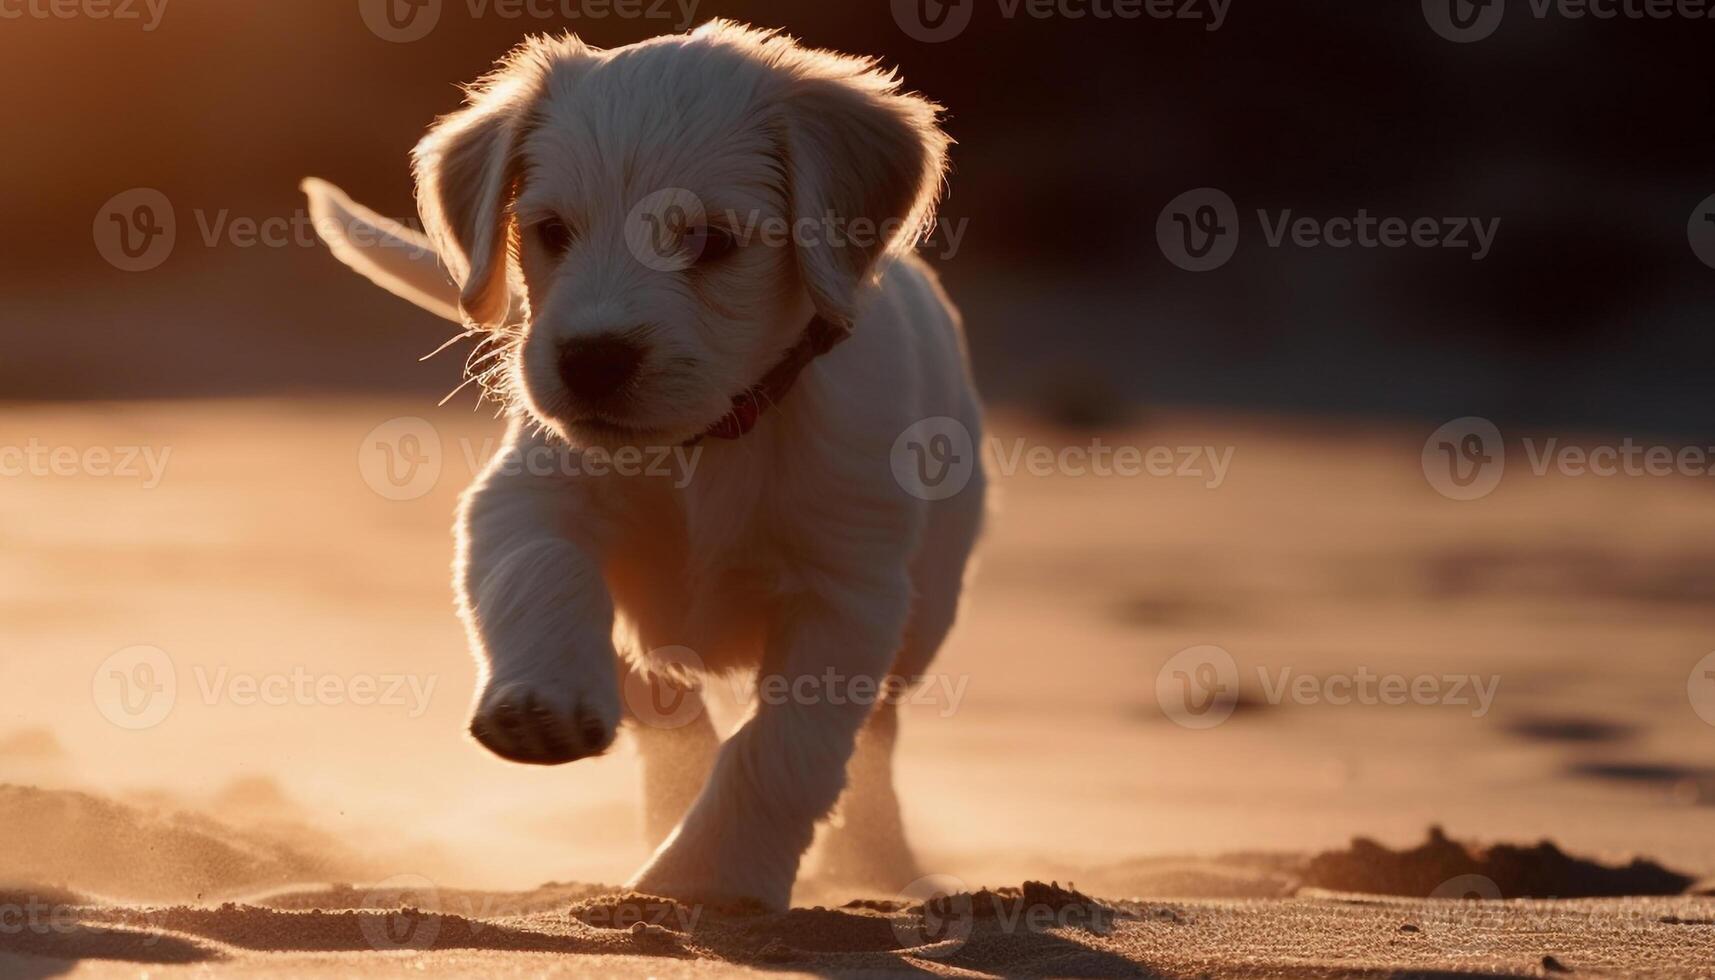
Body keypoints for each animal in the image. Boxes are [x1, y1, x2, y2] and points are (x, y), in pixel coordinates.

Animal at [301, 21, 987, 913]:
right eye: (552, 231)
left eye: (714, 241)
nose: (591, 359)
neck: (706, 440)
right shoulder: (524, 495)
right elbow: (544, 569)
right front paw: (543, 698)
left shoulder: (847, 592)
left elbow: (783, 751)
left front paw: (707, 880)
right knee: (668, 714)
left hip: (921, 614)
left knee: (870, 744)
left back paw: (876, 861)